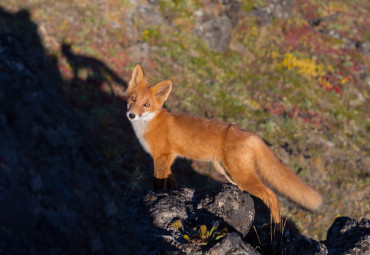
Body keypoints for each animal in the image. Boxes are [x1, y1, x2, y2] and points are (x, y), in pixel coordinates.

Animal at [126, 64, 320, 223]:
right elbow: (171, 182)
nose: (131, 115)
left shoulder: (162, 156)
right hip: (226, 171)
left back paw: (276, 229)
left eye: (147, 104)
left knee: (271, 196)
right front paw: (174, 194)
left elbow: (159, 184)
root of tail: (249, 133)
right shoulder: (169, 158)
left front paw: (155, 200)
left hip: (240, 174)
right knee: (246, 190)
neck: (150, 123)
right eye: (133, 99)